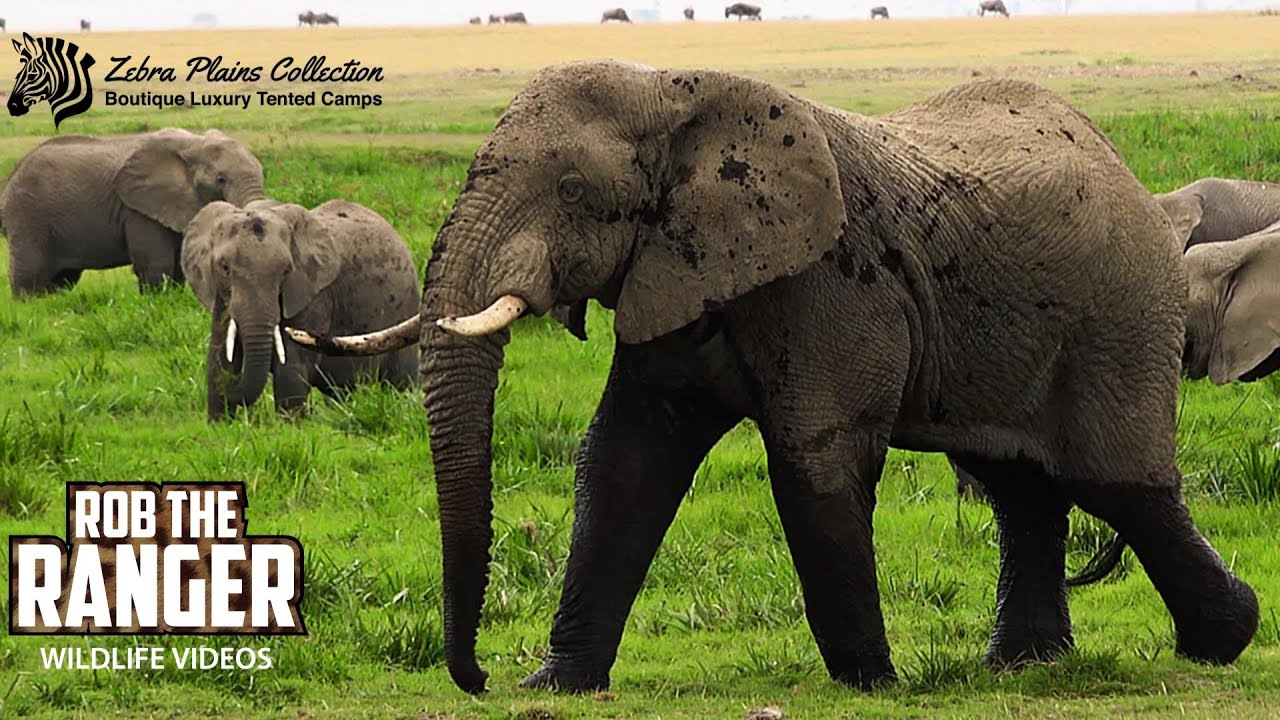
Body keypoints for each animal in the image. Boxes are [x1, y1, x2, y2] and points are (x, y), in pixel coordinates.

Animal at [1, 128, 265, 298]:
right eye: (221, 179)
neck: (193, 143)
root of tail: (10, 179)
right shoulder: (137, 209)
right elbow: (156, 264)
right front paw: (158, 302)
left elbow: (178, 265)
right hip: (27, 215)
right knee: (30, 276)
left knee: (63, 279)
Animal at [182, 199, 418, 421]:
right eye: (224, 268)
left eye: (286, 271)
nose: (233, 390)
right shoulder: (220, 298)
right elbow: (219, 358)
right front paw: (221, 424)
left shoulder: (313, 298)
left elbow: (292, 366)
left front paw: (290, 426)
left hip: (406, 304)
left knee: (400, 380)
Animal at [287, 61, 1259, 694]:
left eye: (570, 191)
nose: (478, 675)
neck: (676, 91)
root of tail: (1126, 171)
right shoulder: (671, 267)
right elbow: (625, 461)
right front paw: (555, 685)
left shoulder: (830, 278)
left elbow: (812, 457)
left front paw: (871, 685)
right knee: (1020, 487)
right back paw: (1020, 666)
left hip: (1122, 313)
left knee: (1115, 481)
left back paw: (1227, 637)